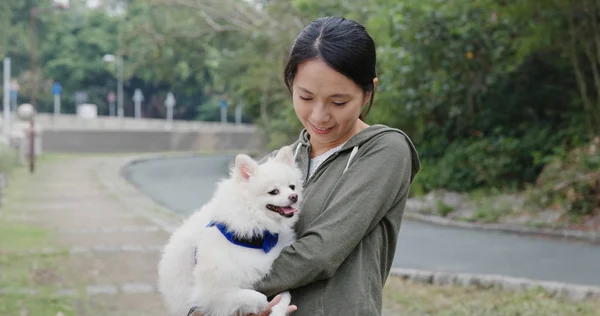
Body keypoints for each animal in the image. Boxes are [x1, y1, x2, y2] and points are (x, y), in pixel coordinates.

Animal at [157, 147, 302, 316]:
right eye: (274, 191)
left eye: (292, 187)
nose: (294, 196)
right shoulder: (211, 293)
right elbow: (257, 296)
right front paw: (263, 305)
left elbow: (285, 294)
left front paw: (279, 310)